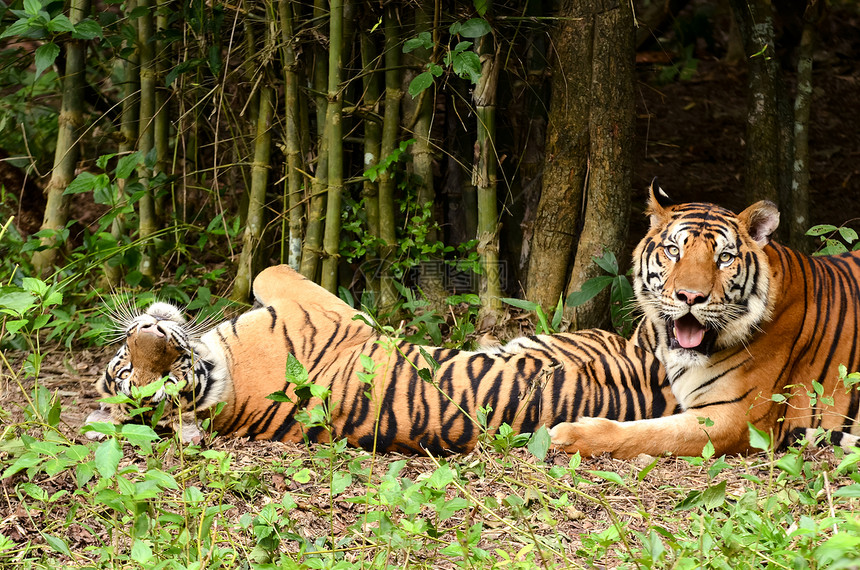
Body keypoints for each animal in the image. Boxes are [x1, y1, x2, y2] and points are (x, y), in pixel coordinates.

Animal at [87, 262, 680, 452]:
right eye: (142, 375)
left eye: (129, 367)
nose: (149, 326)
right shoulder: (327, 310)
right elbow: (272, 271)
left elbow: (262, 271)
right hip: (573, 341)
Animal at [552, 184, 860, 460]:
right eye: (673, 251)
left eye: (724, 257)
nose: (690, 296)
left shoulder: (734, 417)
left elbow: (654, 434)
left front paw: (570, 434)